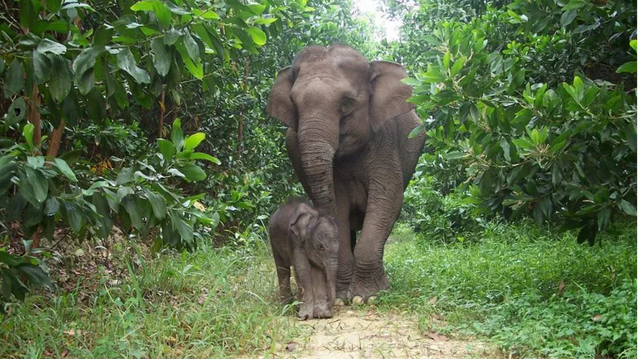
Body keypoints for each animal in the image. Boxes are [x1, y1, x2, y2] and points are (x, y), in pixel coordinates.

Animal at [266, 44, 424, 304]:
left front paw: (366, 296)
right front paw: (342, 296)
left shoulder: (385, 139)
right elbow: (338, 203)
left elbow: (388, 198)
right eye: (294, 105)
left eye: (346, 105)